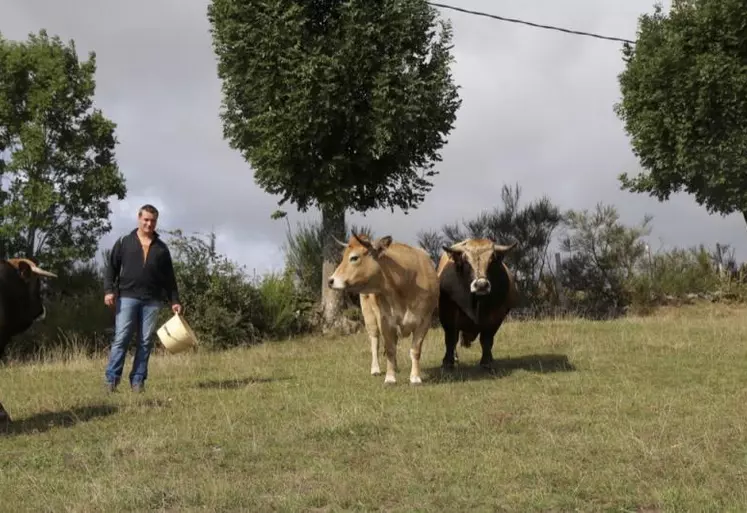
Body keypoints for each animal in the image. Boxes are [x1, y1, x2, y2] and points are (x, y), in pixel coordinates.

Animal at [326, 234, 438, 382]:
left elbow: (415, 350)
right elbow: (389, 349)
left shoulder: (424, 321)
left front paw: (415, 377)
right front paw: (390, 378)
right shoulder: (385, 320)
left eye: (354, 257)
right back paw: (376, 369)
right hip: (369, 317)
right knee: (375, 342)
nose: (330, 281)